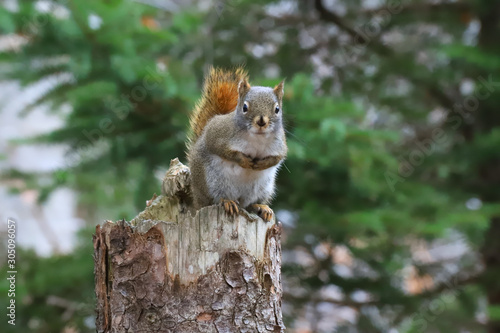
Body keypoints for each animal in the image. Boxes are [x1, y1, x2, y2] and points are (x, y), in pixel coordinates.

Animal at [188, 66, 288, 222]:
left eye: (277, 109)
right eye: (245, 107)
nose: (261, 121)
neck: (257, 138)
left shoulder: (280, 145)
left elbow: (277, 158)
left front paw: (262, 164)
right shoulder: (217, 135)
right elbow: (224, 151)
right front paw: (244, 161)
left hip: (263, 188)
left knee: (249, 204)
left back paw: (261, 207)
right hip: (212, 182)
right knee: (216, 198)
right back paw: (227, 202)